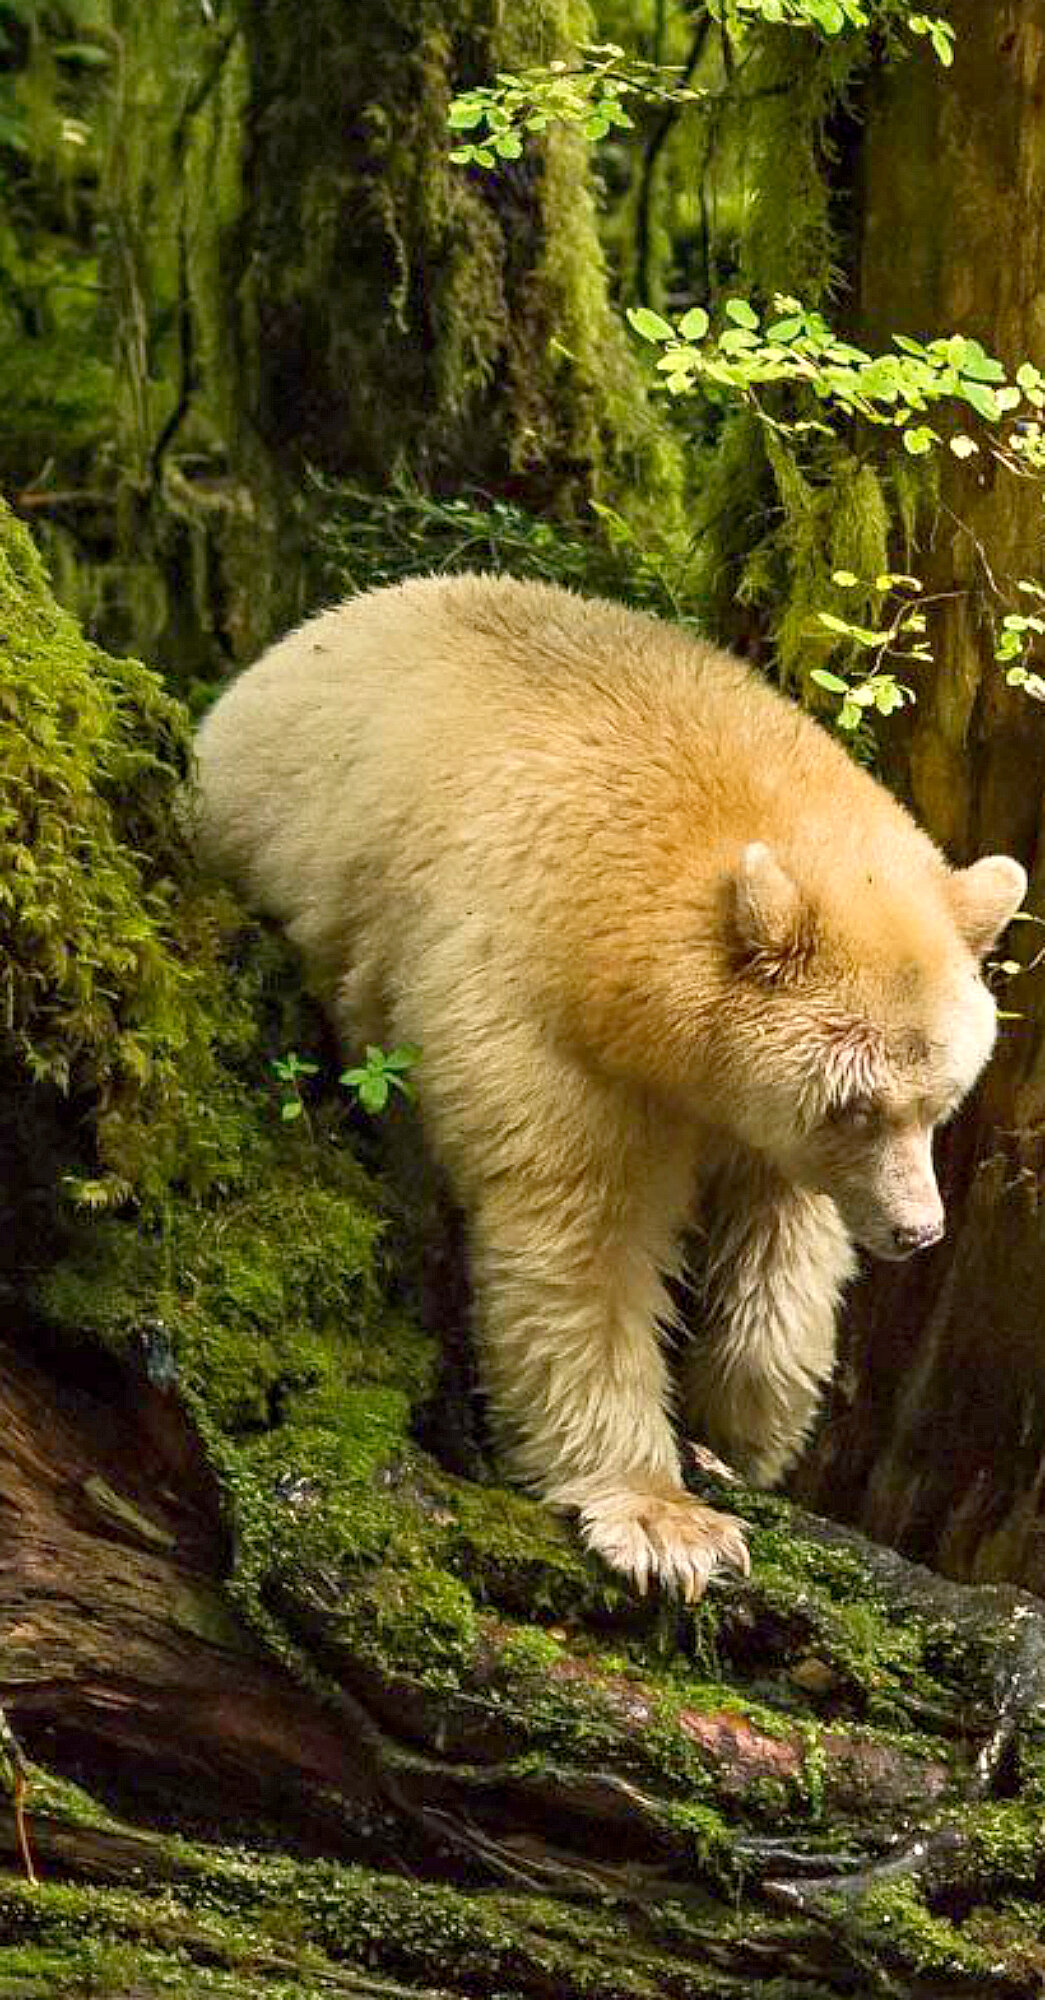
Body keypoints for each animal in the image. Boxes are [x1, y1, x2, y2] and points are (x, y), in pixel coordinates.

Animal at [190, 572, 1026, 1599]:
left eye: (939, 1101)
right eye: (855, 1107)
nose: (918, 1231)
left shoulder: (750, 1121)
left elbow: (781, 1243)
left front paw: (742, 1430)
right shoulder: (533, 1011)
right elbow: (581, 1232)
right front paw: (665, 1521)